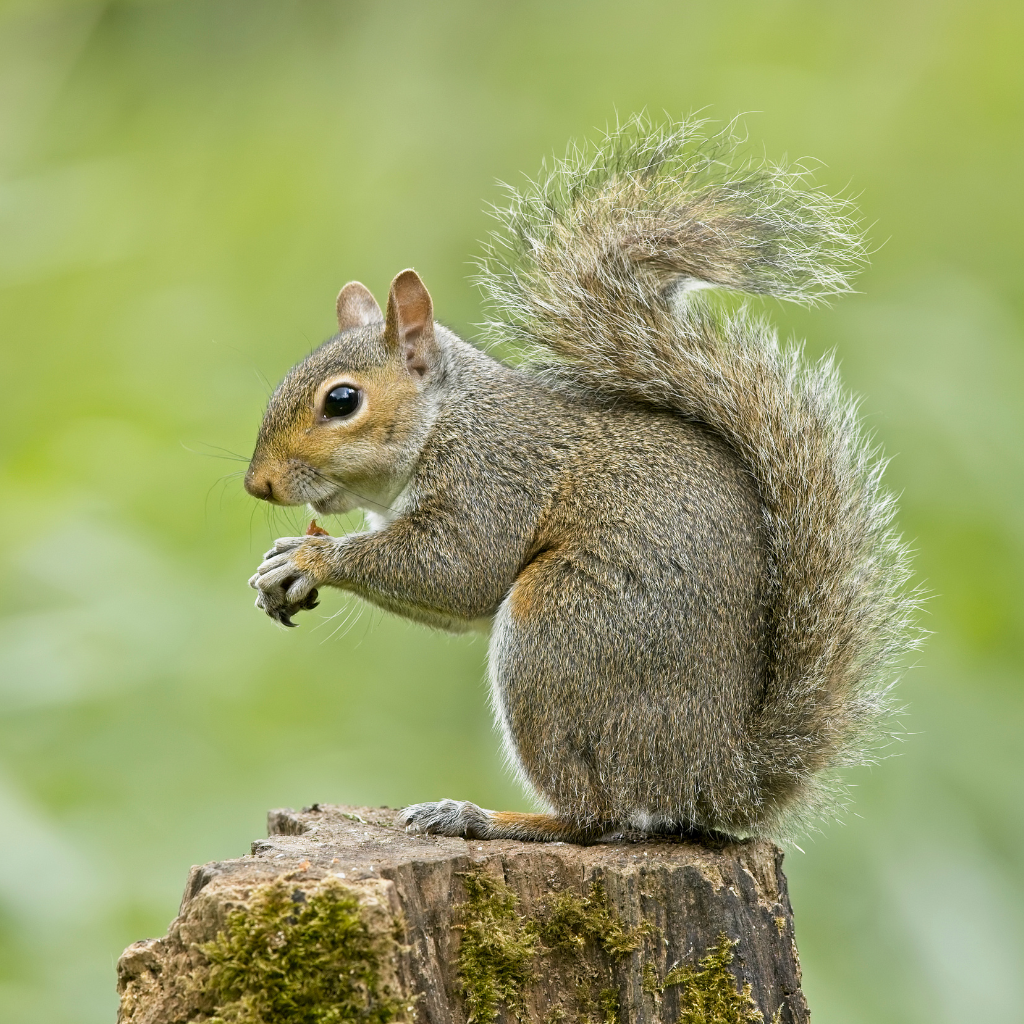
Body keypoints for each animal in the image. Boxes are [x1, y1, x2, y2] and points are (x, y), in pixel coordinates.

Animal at [245, 117, 919, 842]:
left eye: (343, 401)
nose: (258, 485)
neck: (447, 419)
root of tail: (719, 779)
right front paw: (285, 563)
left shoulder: (495, 477)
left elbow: (459, 570)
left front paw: (312, 558)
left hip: (558, 636)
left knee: (595, 814)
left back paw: (483, 816)